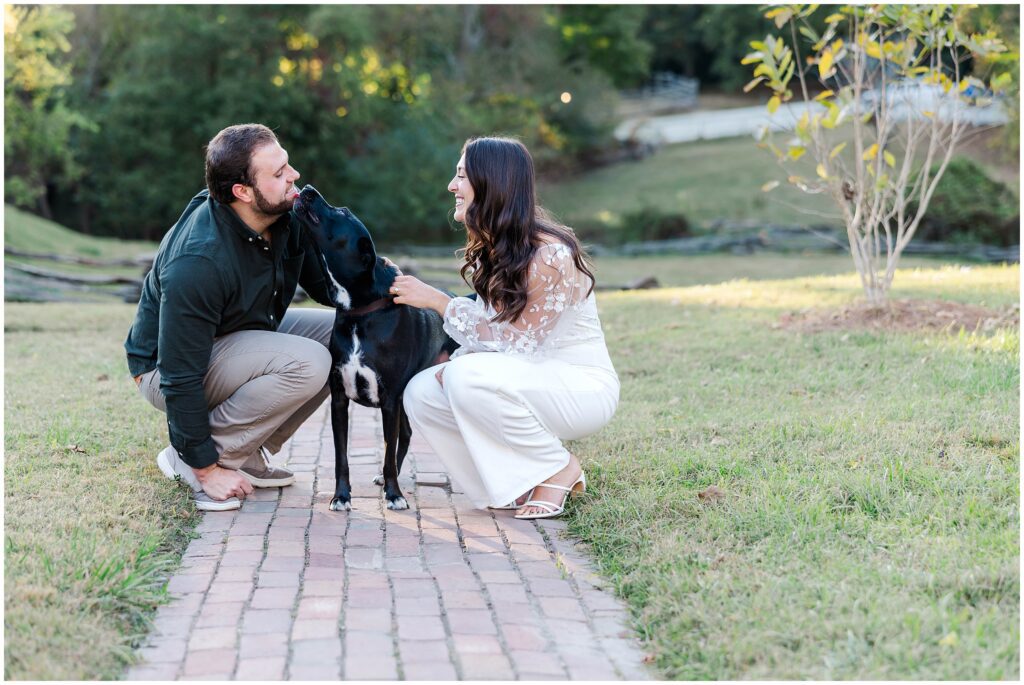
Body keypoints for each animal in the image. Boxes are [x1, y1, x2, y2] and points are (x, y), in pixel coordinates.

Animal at [296, 184, 456, 509]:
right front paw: (341, 496)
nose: (306, 188)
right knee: (405, 435)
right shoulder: (339, 399)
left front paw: (394, 494)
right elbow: (341, 457)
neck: (359, 313)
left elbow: (387, 451)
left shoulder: (390, 400)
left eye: (342, 212)